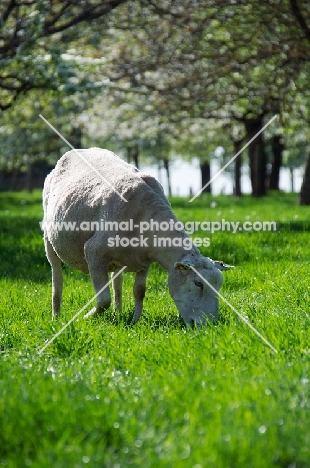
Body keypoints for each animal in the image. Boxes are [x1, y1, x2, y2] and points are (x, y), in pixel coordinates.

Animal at [43, 148, 232, 328]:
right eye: (198, 283)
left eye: (219, 285)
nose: (209, 325)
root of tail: (78, 151)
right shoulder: (93, 252)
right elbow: (103, 300)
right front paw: (82, 318)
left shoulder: (144, 262)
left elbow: (139, 291)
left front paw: (134, 322)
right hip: (48, 237)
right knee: (56, 277)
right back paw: (56, 316)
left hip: (117, 260)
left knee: (117, 281)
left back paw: (118, 314)